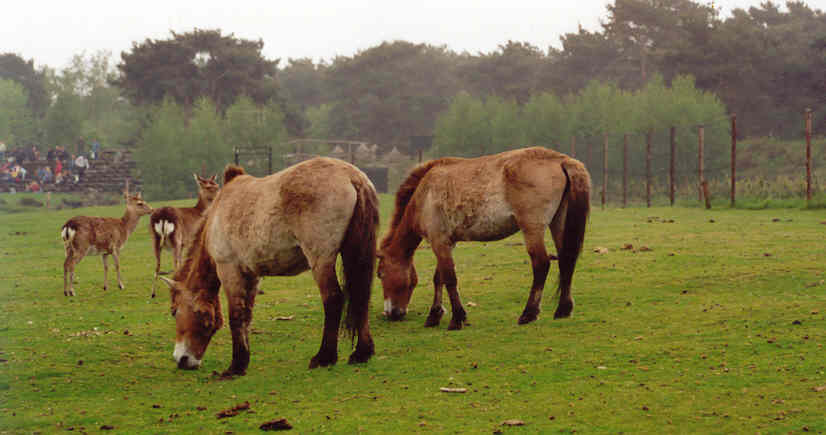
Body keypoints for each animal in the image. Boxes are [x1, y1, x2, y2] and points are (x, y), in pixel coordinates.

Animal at [159, 158, 378, 376]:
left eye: (174, 311)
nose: (182, 360)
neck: (217, 213)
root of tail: (352, 176)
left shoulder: (229, 270)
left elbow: (235, 316)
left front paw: (235, 367)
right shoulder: (252, 276)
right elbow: (246, 316)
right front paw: (243, 361)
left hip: (320, 260)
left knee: (333, 299)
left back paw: (324, 357)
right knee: (360, 295)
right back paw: (361, 353)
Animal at [376, 147, 588, 330]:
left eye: (380, 274)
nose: (391, 313)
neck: (425, 193)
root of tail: (560, 160)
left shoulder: (438, 242)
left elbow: (449, 278)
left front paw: (457, 319)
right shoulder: (447, 243)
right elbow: (439, 278)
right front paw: (434, 315)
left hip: (532, 229)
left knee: (541, 264)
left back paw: (529, 314)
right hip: (559, 223)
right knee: (566, 260)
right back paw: (563, 310)